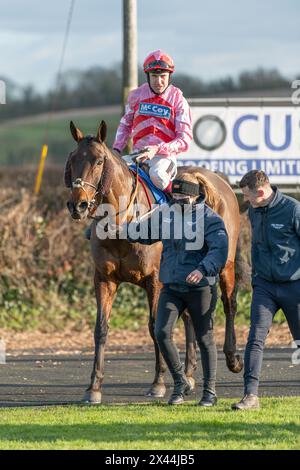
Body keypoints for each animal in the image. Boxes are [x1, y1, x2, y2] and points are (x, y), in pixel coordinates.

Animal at [64, 120, 243, 404]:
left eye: (100, 161)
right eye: (72, 160)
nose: (78, 205)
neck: (123, 220)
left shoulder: (155, 281)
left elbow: (154, 326)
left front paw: (158, 383)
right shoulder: (104, 279)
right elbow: (101, 328)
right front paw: (93, 387)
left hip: (225, 264)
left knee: (229, 304)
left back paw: (232, 359)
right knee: (191, 316)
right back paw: (189, 375)